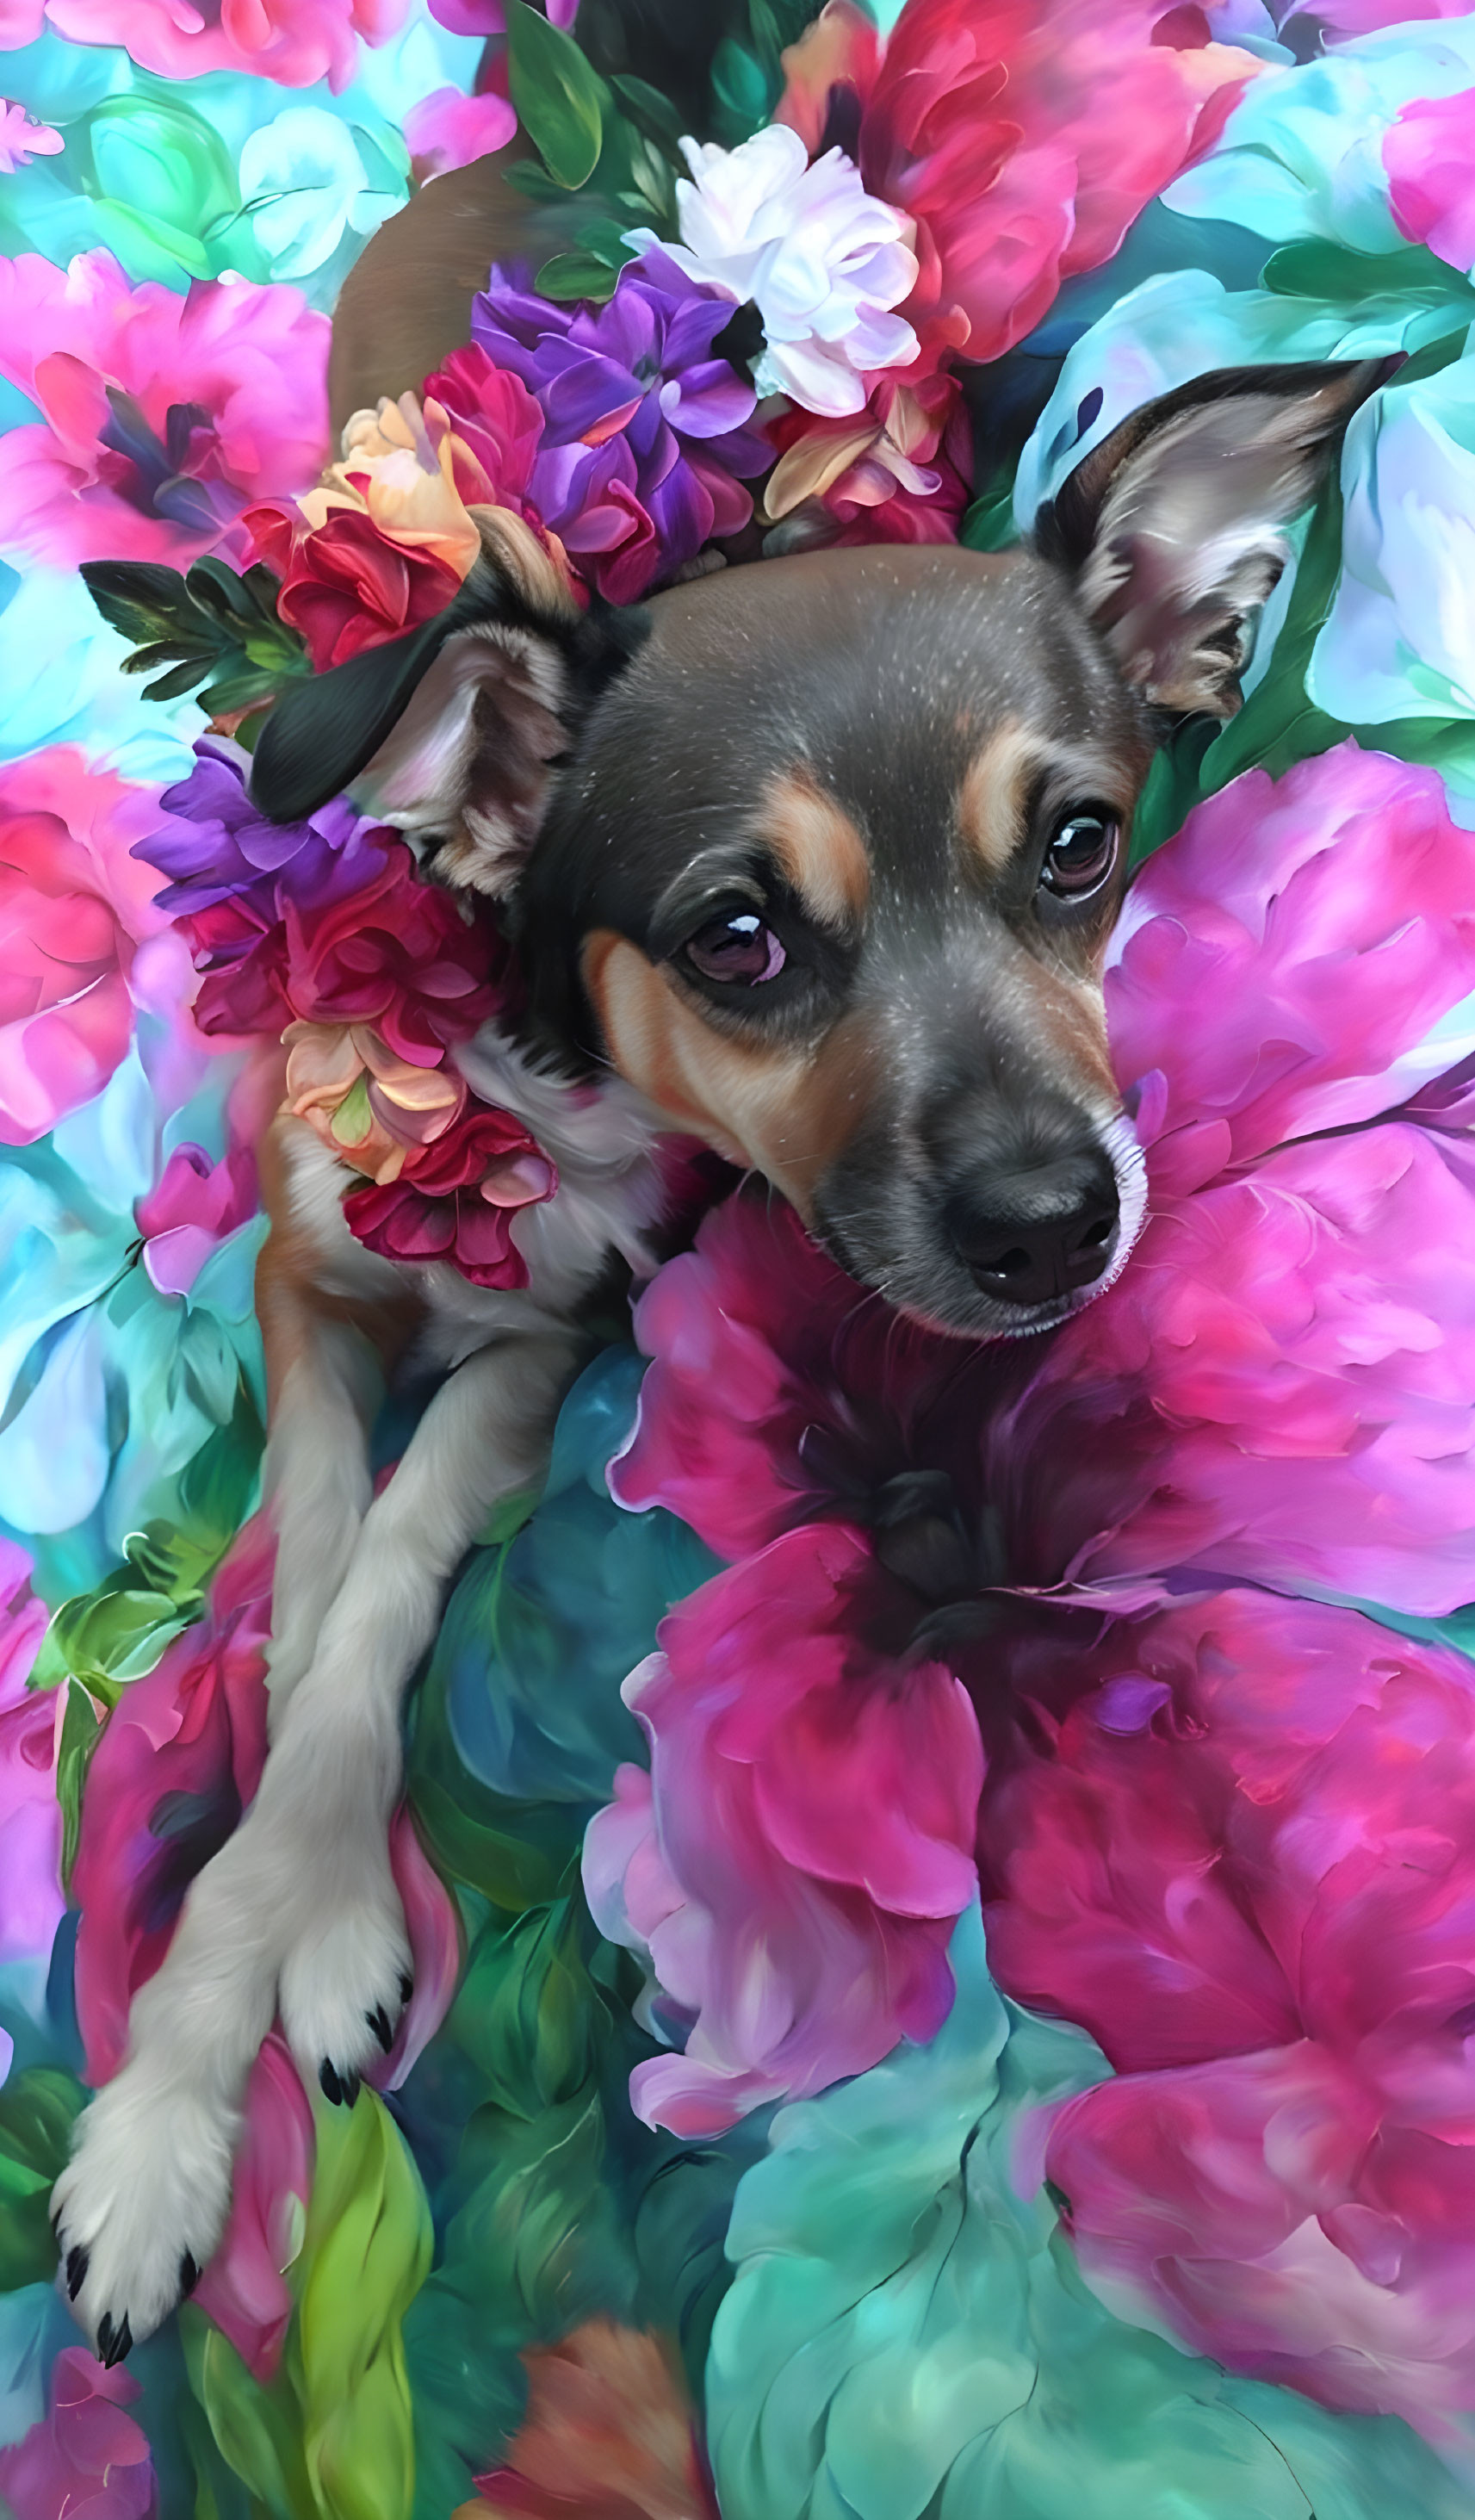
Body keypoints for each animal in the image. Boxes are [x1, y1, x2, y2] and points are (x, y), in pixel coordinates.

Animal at [48, 152, 1381, 2358]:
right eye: (734, 940)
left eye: (1081, 847)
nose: (1054, 1220)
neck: (507, 1041)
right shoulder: (303, 1275)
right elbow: (313, 1558)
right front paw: (192, 2073)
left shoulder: (547, 1333)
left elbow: (378, 1583)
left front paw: (272, 1963)